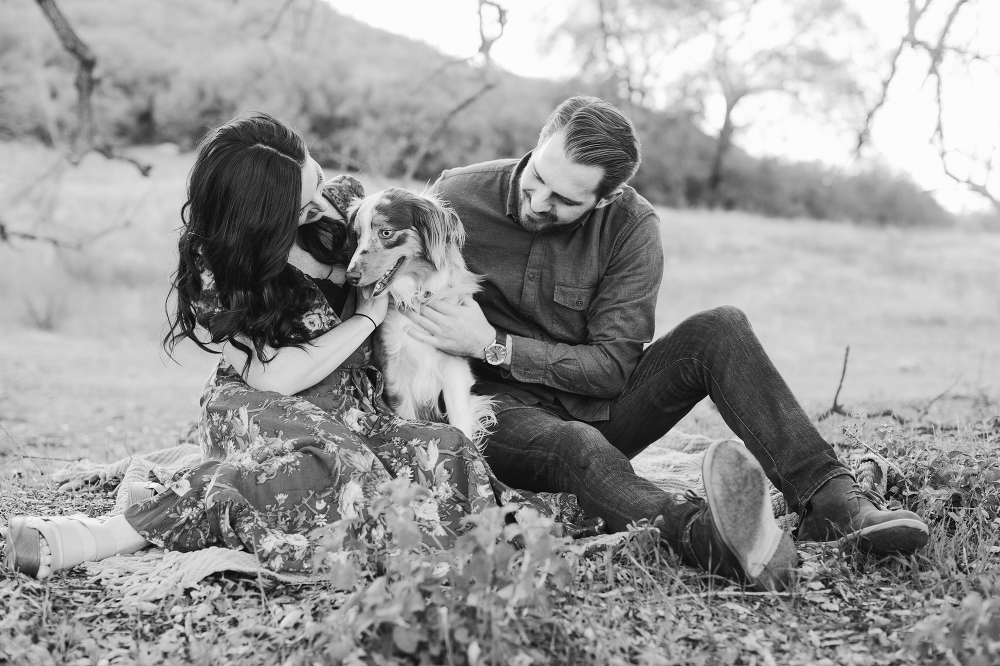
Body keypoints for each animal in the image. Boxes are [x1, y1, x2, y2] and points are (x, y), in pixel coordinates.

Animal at [346, 187, 494, 444]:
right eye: (357, 235)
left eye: (386, 232)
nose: (350, 277)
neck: (415, 293)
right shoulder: (394, 368)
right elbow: (408, 419)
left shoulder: (454, 366)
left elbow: (461, 422)